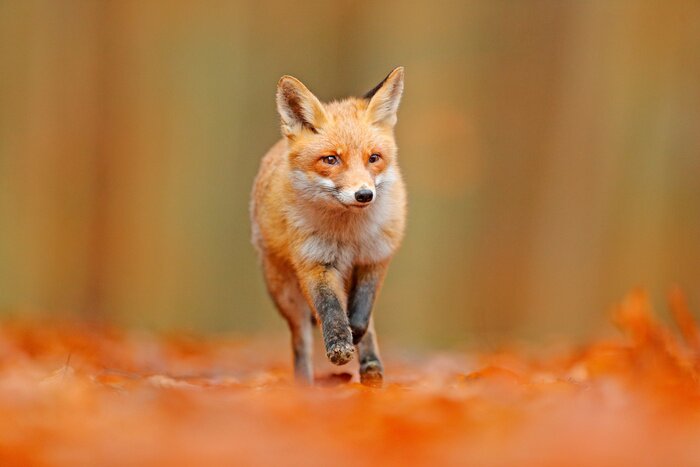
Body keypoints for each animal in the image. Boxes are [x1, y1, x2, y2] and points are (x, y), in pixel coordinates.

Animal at [250, 67, 406, 386]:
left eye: (374, 158)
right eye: (331, 159)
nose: (364, 195)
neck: (350, 235)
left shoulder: (376, 257)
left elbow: (360, 314)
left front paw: (355, 338)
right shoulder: (314, 261)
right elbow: (331, 309)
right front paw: (339, 345)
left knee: (367, 322)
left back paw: (371, 366)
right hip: (286, 294)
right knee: (301, 343)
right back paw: (305, 387)